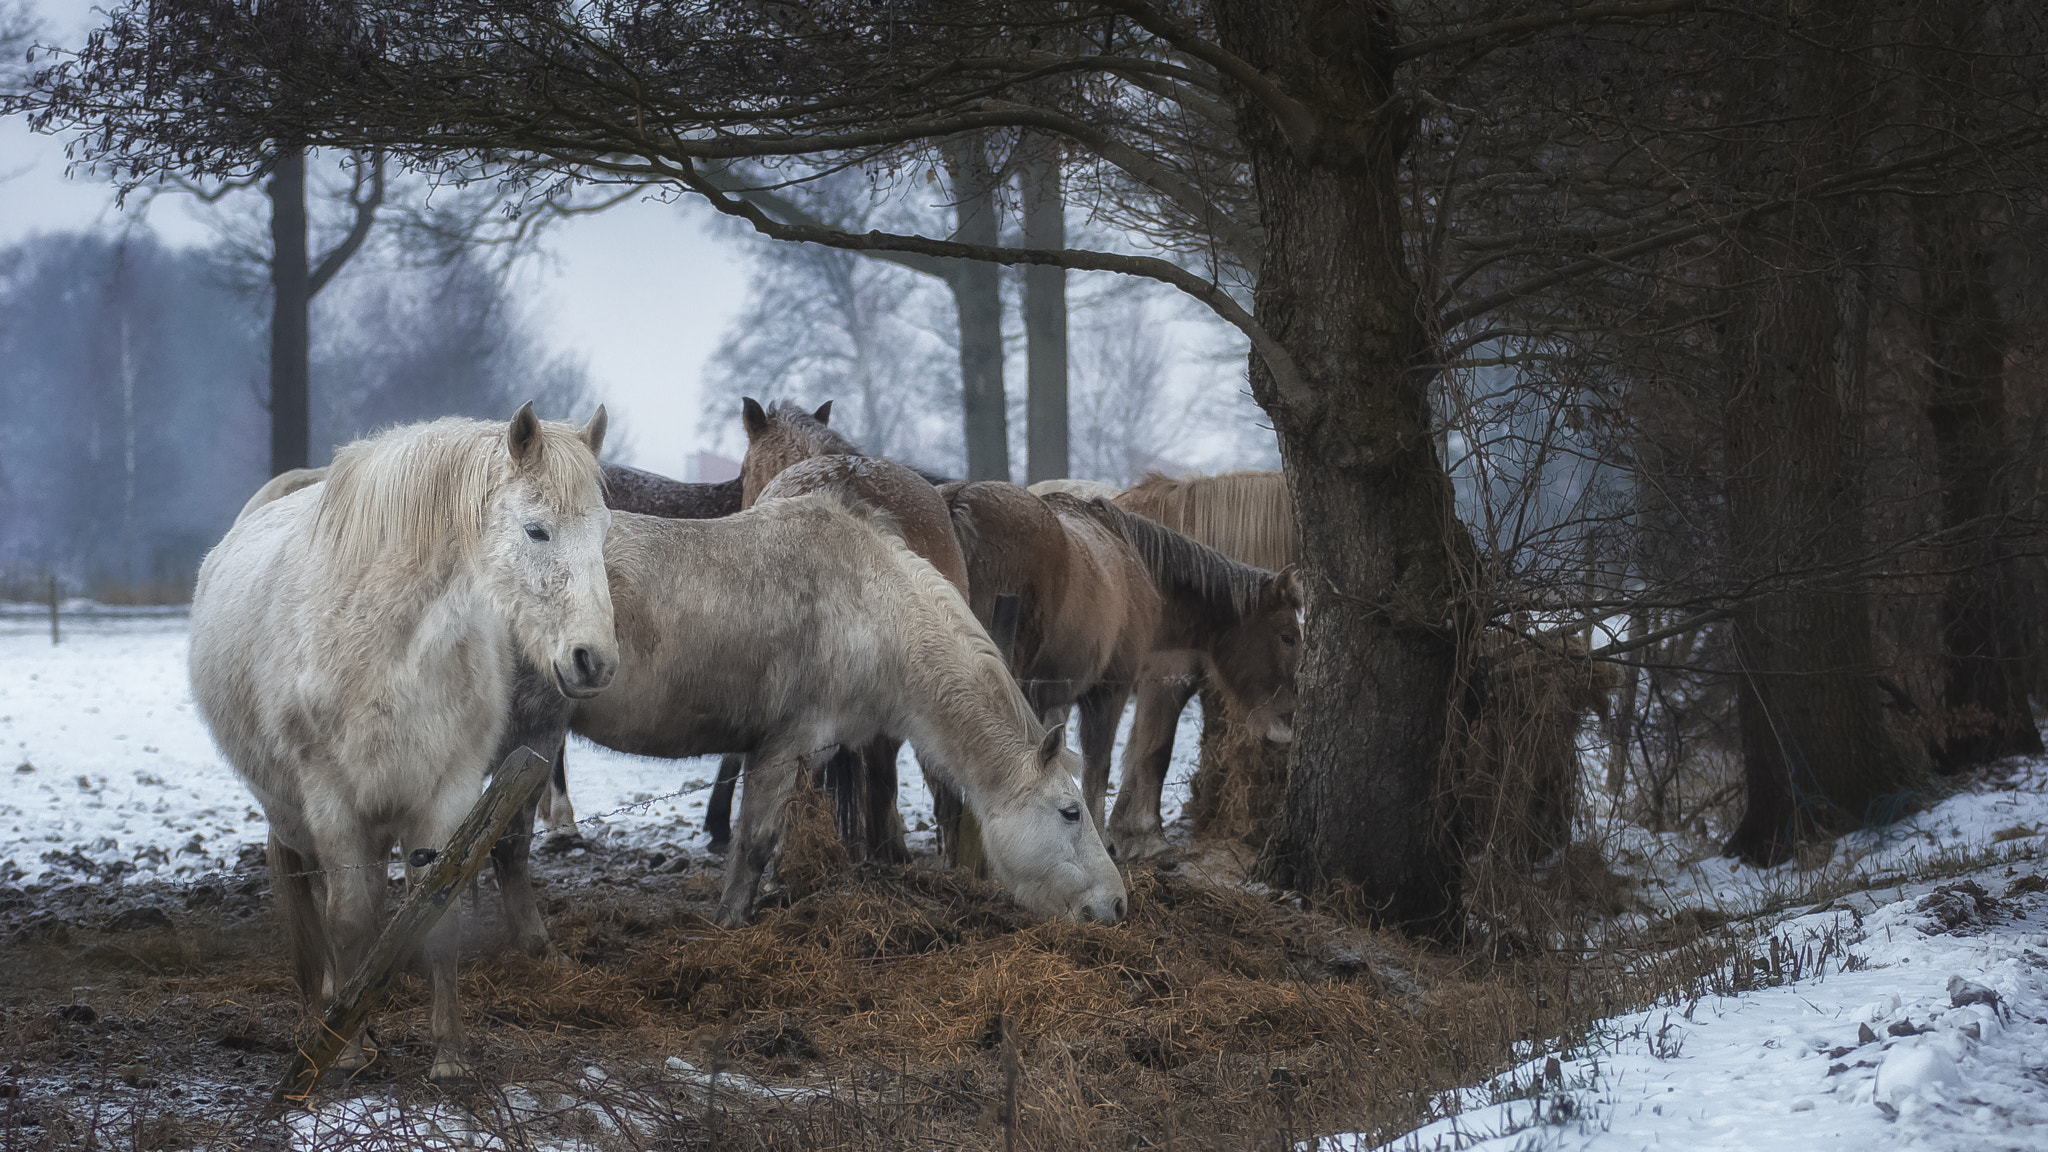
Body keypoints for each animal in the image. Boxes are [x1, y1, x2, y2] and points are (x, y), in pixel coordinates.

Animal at [192, 401, 614, 1074]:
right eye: (537, 531)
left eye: (603, 533)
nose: (594, 660)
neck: (388, 642)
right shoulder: (331, 800)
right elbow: (348, 917)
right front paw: (344, 1053)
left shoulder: (447, 795)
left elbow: (434, 916)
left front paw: (449, 1056)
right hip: (295, 815)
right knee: (318, 898)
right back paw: (329, 1012)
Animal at [942, 479, 1294, 856]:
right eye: (1289, 636)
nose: (1289, 720)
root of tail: (960, 502)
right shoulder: (1125, 686)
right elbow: (1124, 760)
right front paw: (1137, 836)